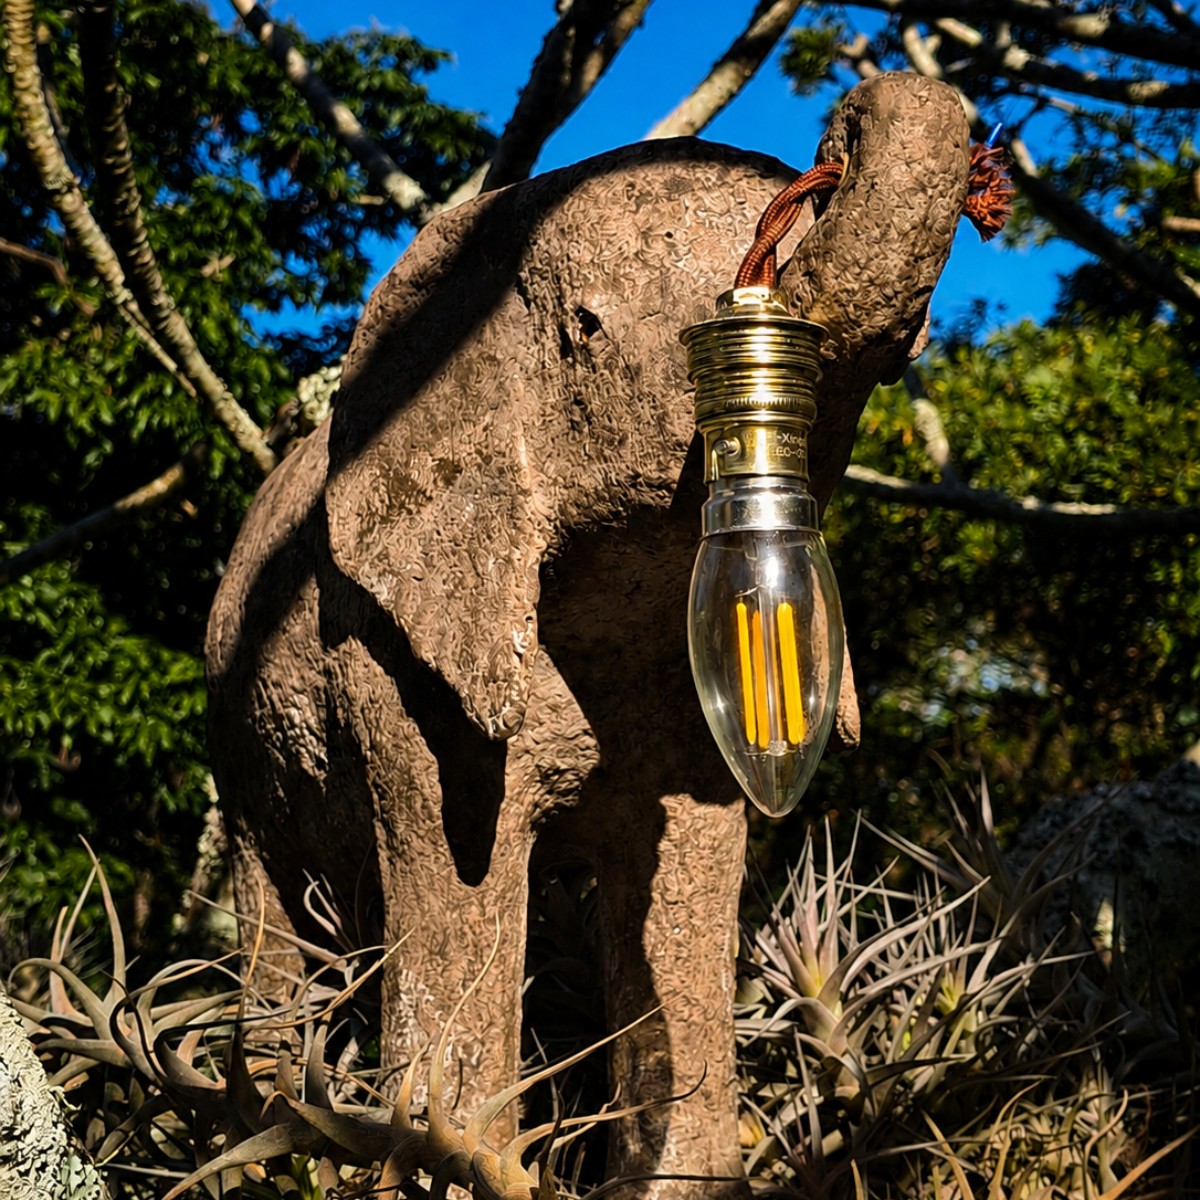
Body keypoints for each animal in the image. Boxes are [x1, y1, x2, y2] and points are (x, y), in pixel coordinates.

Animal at [206, 73, 971, 1198]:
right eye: (586, 327)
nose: (842, 127)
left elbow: (685, 888)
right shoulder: (399, 661)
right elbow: (460, 893)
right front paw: (459, 1157)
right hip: (236, 742)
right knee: (278, 923)